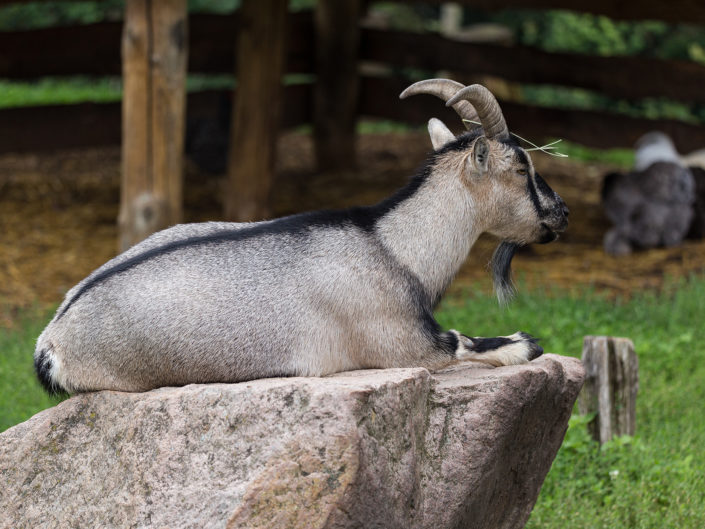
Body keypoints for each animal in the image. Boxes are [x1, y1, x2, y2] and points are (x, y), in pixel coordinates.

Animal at [34, 79, 569, 395]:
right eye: (522, 167)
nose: (561, 213)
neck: (390, 246)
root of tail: (51, 339)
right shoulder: (402, 344)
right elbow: (464, 342)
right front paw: (523, 342)